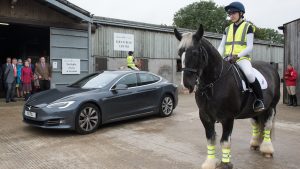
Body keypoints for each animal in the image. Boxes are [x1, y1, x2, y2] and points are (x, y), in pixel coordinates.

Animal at [175, 25, 280, 169]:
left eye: (195, 53)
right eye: (180, 53)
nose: (186, 86)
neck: (213, 84)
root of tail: (270, 67)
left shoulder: (228, 118)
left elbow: (225, 141)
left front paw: (225, 164)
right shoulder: (205, 117)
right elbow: (210, 140)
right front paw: (210, 163)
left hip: (271, 107)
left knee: (268, 126)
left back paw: (267, 150)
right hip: (255, 111)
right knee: (256, 124)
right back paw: (255, 144)